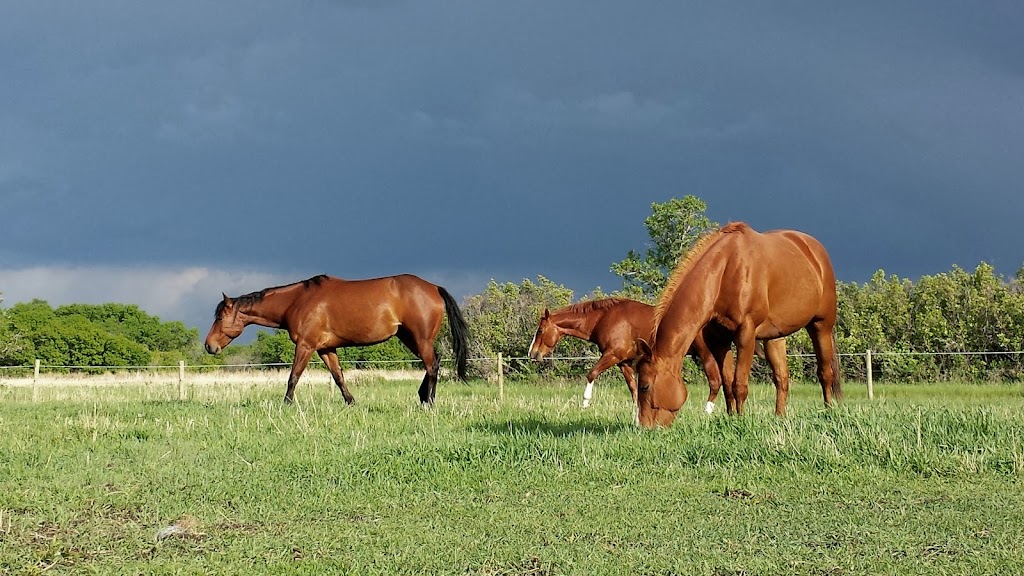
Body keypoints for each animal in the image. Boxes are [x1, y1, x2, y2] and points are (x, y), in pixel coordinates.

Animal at [203, 272, 468, 403]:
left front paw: (285, 404)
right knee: (434, 362)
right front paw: (351, 402)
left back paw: (429, 401)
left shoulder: (306, 346)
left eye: (220, 317)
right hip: (409, 337)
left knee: (432, 365)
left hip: (419, 339)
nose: (209, 346)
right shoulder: (325, 349)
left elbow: (293, 377)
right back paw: (423, 396)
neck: (297, 300)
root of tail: (434, 287)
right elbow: (339, 377)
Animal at [524, 297, 786, 414]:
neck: (605, 318)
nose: (532, 354)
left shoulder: (613, 355)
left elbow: (591, 373)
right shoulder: (624, 362)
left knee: (715, 381)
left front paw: (585, 401)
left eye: (540, 331)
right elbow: (632, 388)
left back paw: (707, 412)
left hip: (706, 355)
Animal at [630, 220, 839, 426]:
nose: (643, 427)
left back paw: (829, 412)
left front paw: (741, 421)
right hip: (775, 337)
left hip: (821, 326)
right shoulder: (719, 341)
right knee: (782, 378)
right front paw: (732, 419)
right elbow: (728, 383)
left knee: (825, 372)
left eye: (645, 386)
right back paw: (780, 417)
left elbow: (739, 384)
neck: (725, 272)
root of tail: (813, 248)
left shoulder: (745, 334)